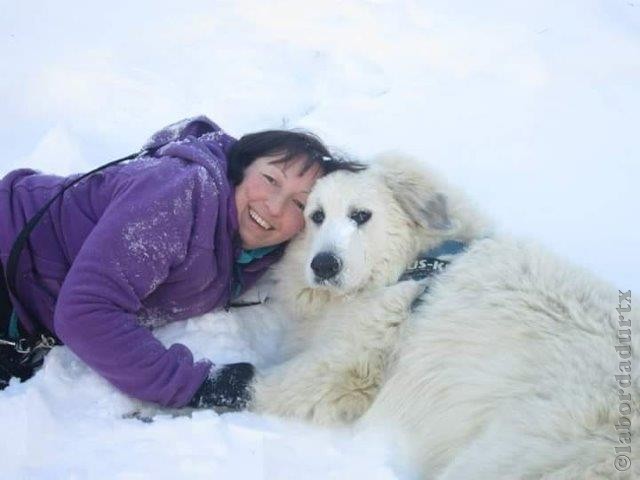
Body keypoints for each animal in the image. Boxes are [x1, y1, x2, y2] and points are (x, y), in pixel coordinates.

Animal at [248, 156, 636, 478]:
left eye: (360, 215)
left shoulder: (344, 363)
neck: (415, 267)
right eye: (316, 216)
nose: (324, 265)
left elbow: (264, 385)